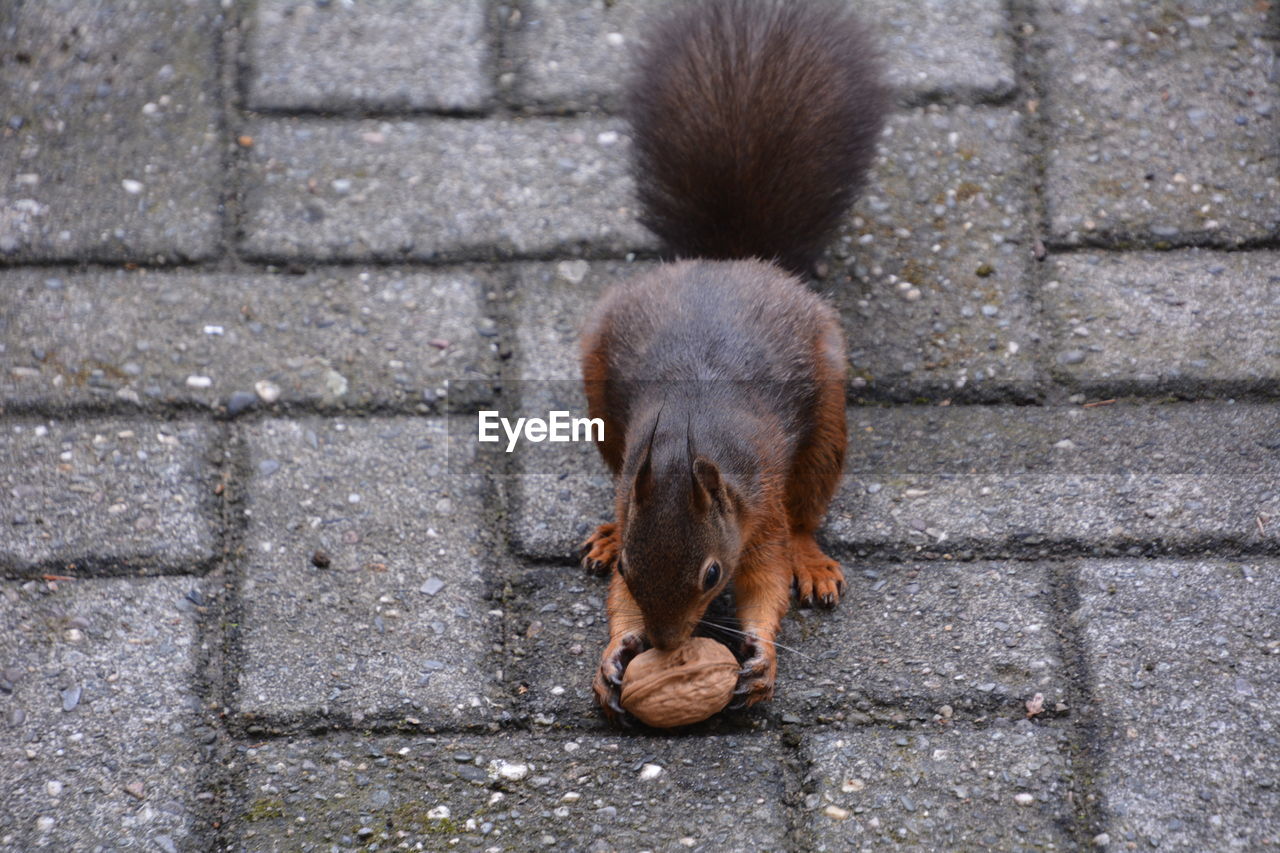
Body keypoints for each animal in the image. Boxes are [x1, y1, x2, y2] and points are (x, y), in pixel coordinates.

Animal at [576, 0, 885, 722]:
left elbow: (767, 578)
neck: (683, 445)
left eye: (713, 574)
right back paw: (603, 530)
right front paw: (614, 653)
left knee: (808, 510)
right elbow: (618, 605)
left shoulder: (759, 508)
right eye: (631, 569)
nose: (666, 643)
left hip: (827, 419)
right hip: (599, 391)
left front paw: (763, 659)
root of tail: (731, 259)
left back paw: (812, 559)